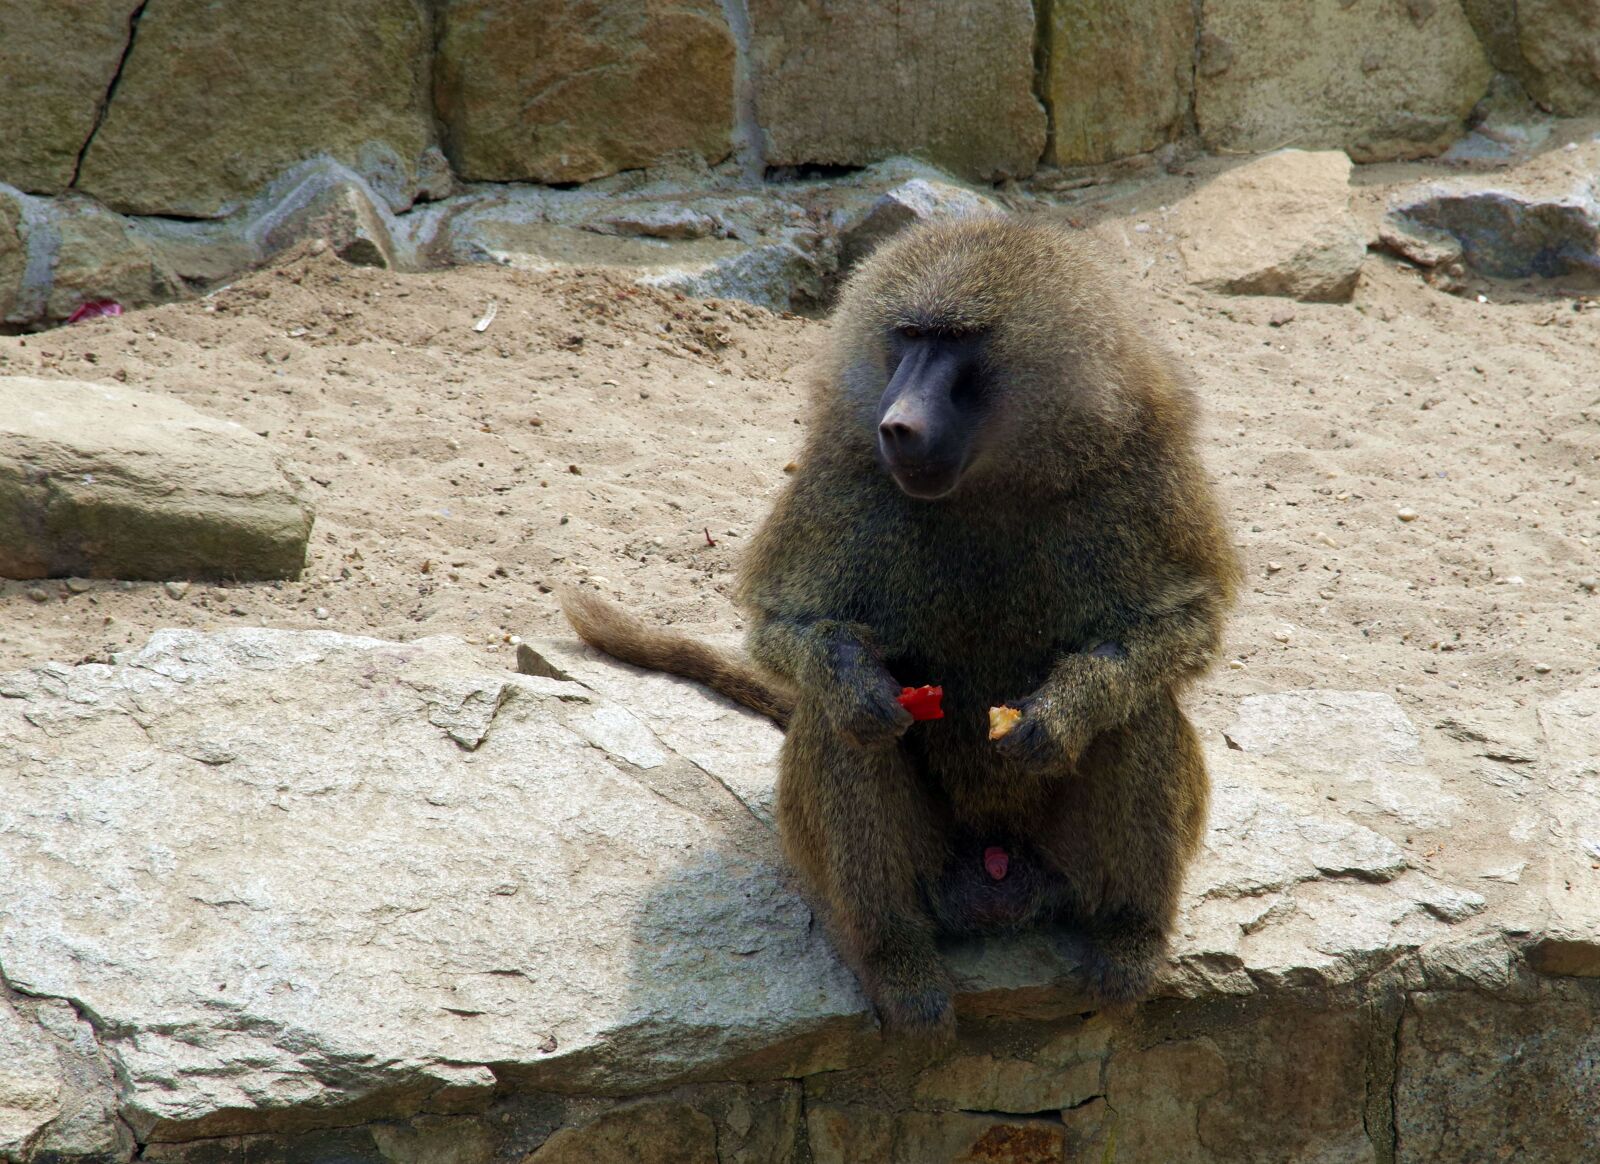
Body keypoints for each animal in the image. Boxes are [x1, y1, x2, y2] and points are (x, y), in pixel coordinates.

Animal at [562, 215, 1238, 1034]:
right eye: (907, 336)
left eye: (958, 341)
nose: (898, 425)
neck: (991, 478)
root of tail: (997, 885)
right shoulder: (840, 468)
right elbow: (789, 625)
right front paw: (858, 681)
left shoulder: (1143, 461)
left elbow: (1177, 625)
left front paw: (1063, 714)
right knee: (840, 732)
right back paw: (896, 964)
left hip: (1056, 869)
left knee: (1141, 712)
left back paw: (1129, 940)